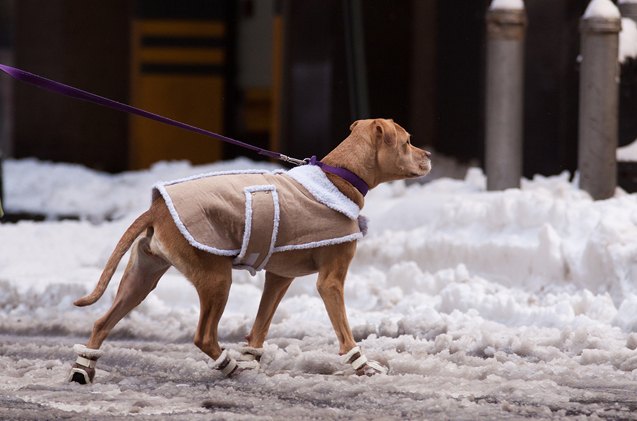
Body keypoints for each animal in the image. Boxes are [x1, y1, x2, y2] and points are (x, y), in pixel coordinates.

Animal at [67, 118, 430, 384]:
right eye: (407, 141)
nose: (427, 155)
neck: (338, 177)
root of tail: (157, 208)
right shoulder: (330, 281)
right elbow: (345, 333)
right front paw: (363, 367)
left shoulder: (279, 278)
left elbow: (260, 327)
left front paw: (252, 361)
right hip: (216, 279)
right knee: (203, 336)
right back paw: (229, 366)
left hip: (141, 278)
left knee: (101, 323)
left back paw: (82, 368)